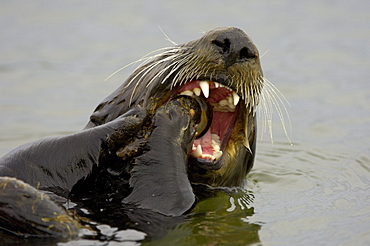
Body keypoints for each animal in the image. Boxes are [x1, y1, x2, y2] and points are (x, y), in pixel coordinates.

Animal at [0, 27, 266, 240]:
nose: (236, 41)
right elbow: (26, 159)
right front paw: (134, 118)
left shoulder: (163, 207)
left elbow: (167, 199)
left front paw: (174, 114)